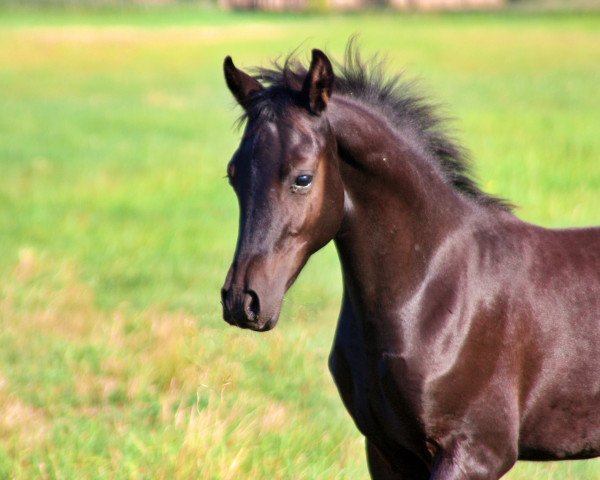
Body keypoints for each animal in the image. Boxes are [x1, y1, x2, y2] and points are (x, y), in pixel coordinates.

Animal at [219, 46, 600, 480]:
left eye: (302, 178)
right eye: (233, 175)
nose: (242, 300)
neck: (437, 292)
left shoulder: (476, 452)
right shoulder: (387, 451)